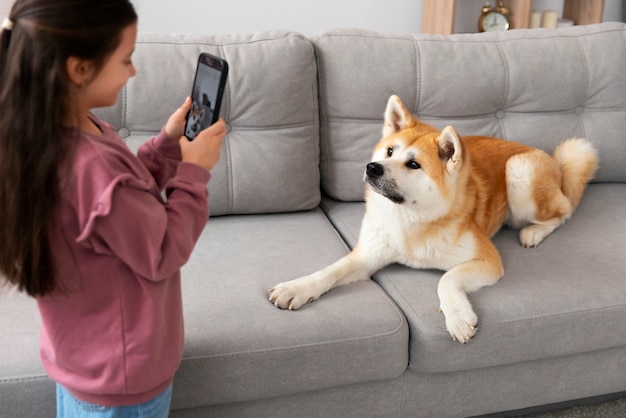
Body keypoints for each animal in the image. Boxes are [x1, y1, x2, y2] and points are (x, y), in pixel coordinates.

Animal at [266, 94, 596, 342]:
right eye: (389, 151)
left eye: (413, 164)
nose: (372, 167)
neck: (410, 219)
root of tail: (552, 161)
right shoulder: (368, 256)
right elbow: (330, 271)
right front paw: (297, 288)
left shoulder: (487, 261)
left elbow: (447, 278)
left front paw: (458, 317)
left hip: (519, 171)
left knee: (564, 211)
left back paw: (534, 232)